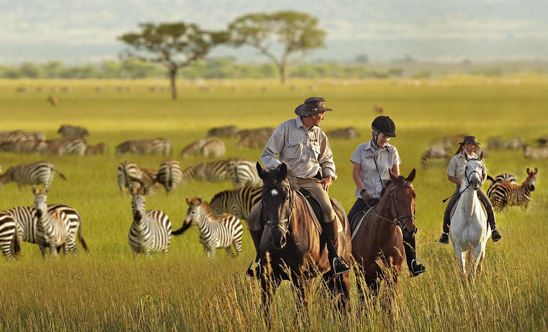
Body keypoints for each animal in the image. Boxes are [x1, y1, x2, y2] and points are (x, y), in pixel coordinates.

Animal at [253, 162, 352, 318]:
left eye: (287, 196)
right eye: (263, 198)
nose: (277, 238)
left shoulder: (303, 278)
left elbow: (302, 313)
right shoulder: (269, 277)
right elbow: (265, 310)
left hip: (342, 274)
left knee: (346, 302)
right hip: (328, 275)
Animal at [352, 170, 416, 310]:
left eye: (414, 195)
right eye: (395, 197)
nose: (410, 230)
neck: (380, 237)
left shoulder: (393, 273)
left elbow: (387, 303)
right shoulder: (365, 273)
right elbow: (366, 301)